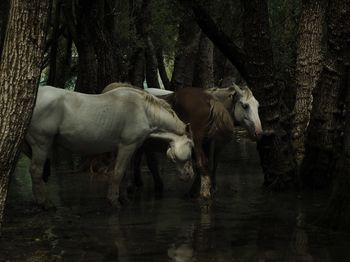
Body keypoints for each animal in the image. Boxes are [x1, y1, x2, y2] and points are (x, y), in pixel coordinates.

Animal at [24, 86, 194, 209]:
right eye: (191, 148)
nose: (189, 175)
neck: (143, 111)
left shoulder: (124, 149)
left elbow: (122, 173)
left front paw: (123, 198)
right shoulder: (127, 146)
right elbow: (118, 173)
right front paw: (114, 201)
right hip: (42, 143)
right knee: (35, 171)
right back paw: (45, 203)